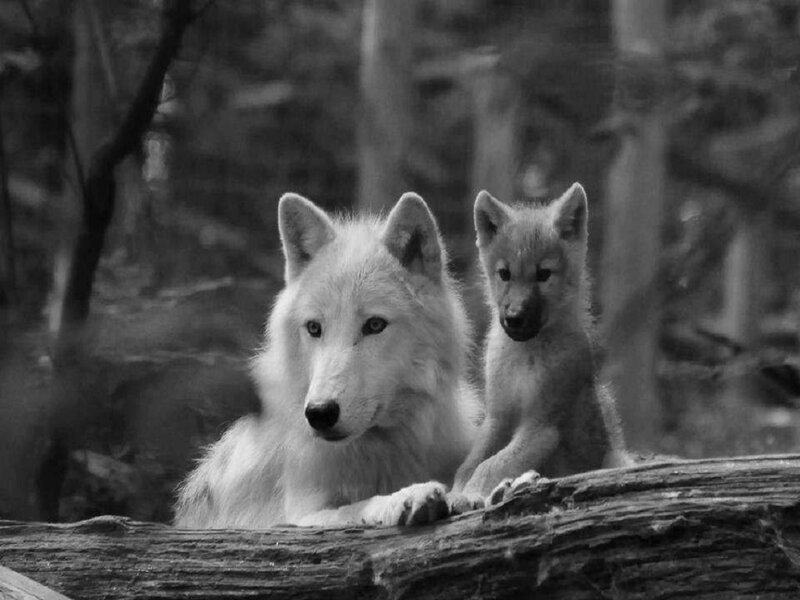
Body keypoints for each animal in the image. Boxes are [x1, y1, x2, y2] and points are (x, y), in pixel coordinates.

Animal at [174, 192, 480, 528]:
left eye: (375, 325)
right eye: (314, 328)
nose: (319, 413)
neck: (386, 448)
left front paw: (464, 496)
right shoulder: (297, 517)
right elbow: (355, 507)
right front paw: (405, 497)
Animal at [453, 183, 630, 501]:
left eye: (543, 274)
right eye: (505, 274)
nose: (514, 318)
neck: (524, 357)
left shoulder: (541, 426)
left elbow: (490, 465)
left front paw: (471, 495)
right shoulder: (497, 418)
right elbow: (470, 464)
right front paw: (455, 494)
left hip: (616, 458)